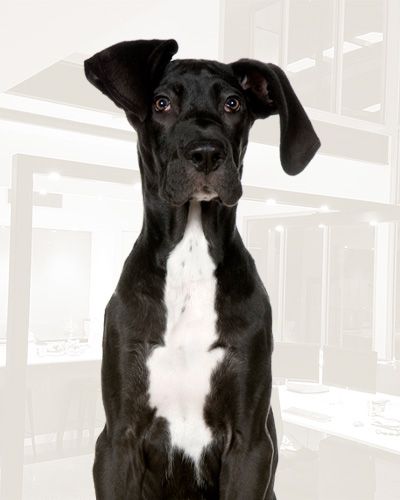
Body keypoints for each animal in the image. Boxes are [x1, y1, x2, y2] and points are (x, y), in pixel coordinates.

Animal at [84, 38, 320, 500]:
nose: (207, 153)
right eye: (161, 103)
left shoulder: (250, 444)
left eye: (233, 103)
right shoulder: (117, 441)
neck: (190, 256)